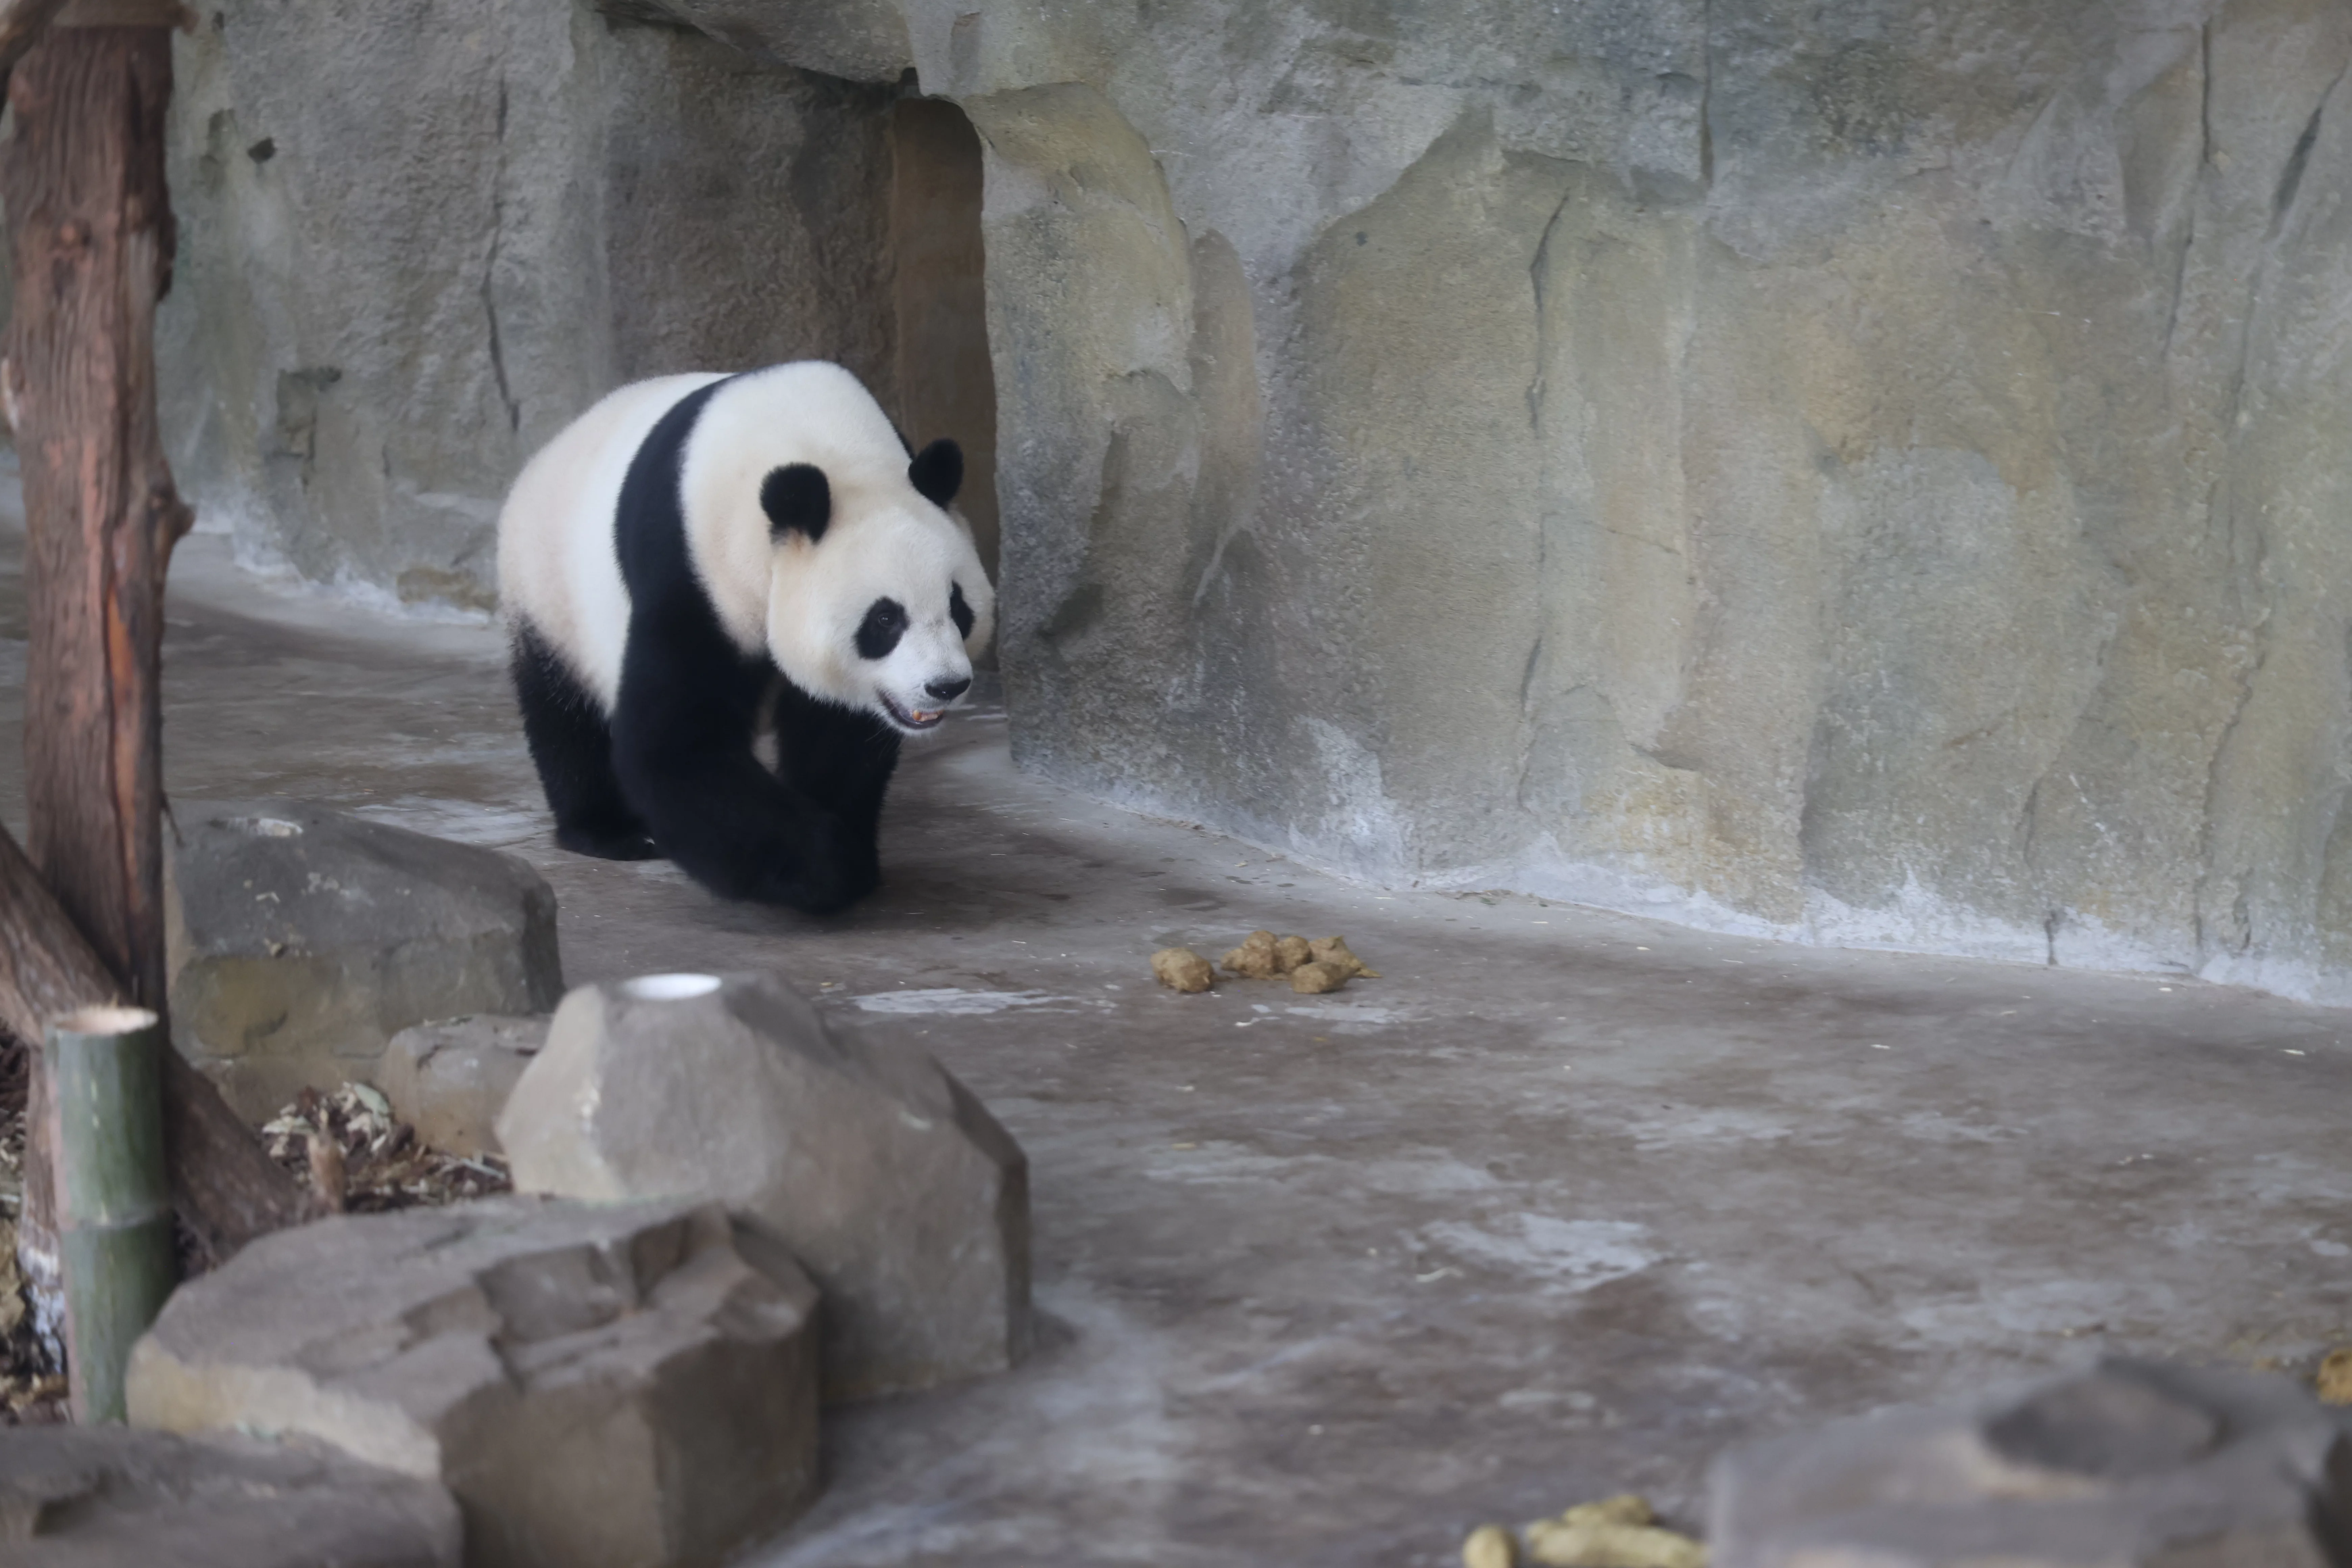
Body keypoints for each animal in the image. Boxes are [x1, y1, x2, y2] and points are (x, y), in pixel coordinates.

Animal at [495, 361, 995, 913]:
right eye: (886, 620)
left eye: (958, 607)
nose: (945, 685)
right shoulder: (692, 568)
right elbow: (679, 744)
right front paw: (823, 867)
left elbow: (837, 731)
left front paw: (851, 848)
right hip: (549, 590)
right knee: (564, 714)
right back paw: (609, 830)